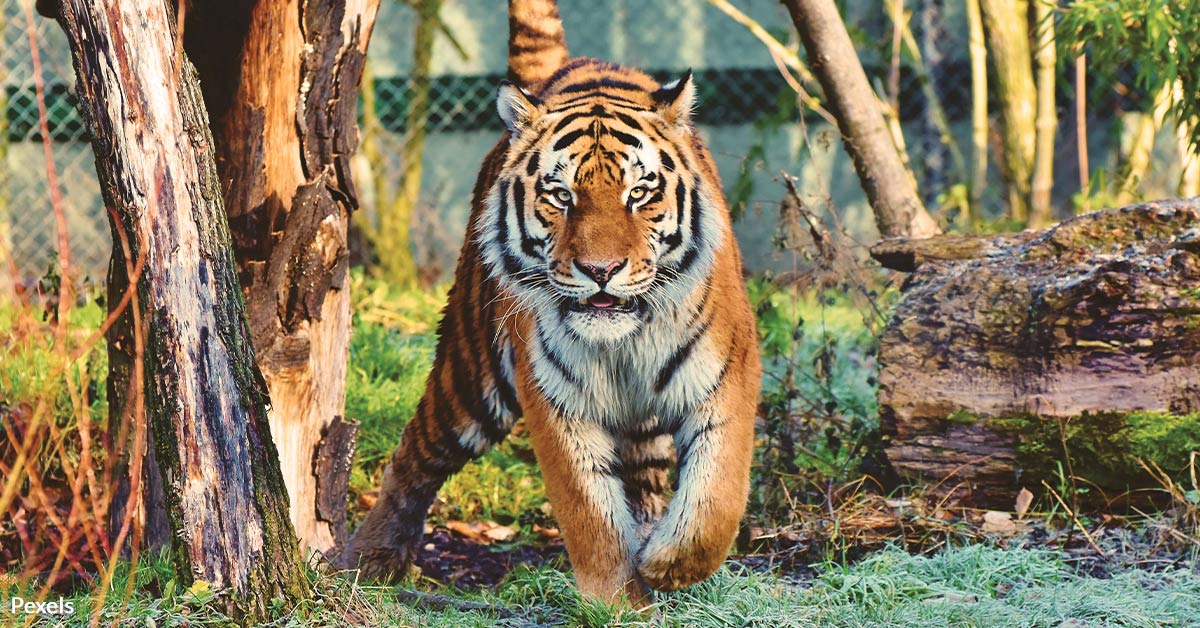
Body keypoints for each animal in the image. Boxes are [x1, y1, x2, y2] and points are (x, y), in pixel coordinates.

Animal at [336, 0, 761, 603]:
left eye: (639, 193)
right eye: (562, 196)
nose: (601, 271)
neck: (623, 343)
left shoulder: (727, 376)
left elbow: (717, 498)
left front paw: (666, 567)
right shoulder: (556, 400)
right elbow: (590, 514)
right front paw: (615, 600)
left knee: (645, 480)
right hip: (472, 372)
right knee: (416, 452)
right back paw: (367, 562)